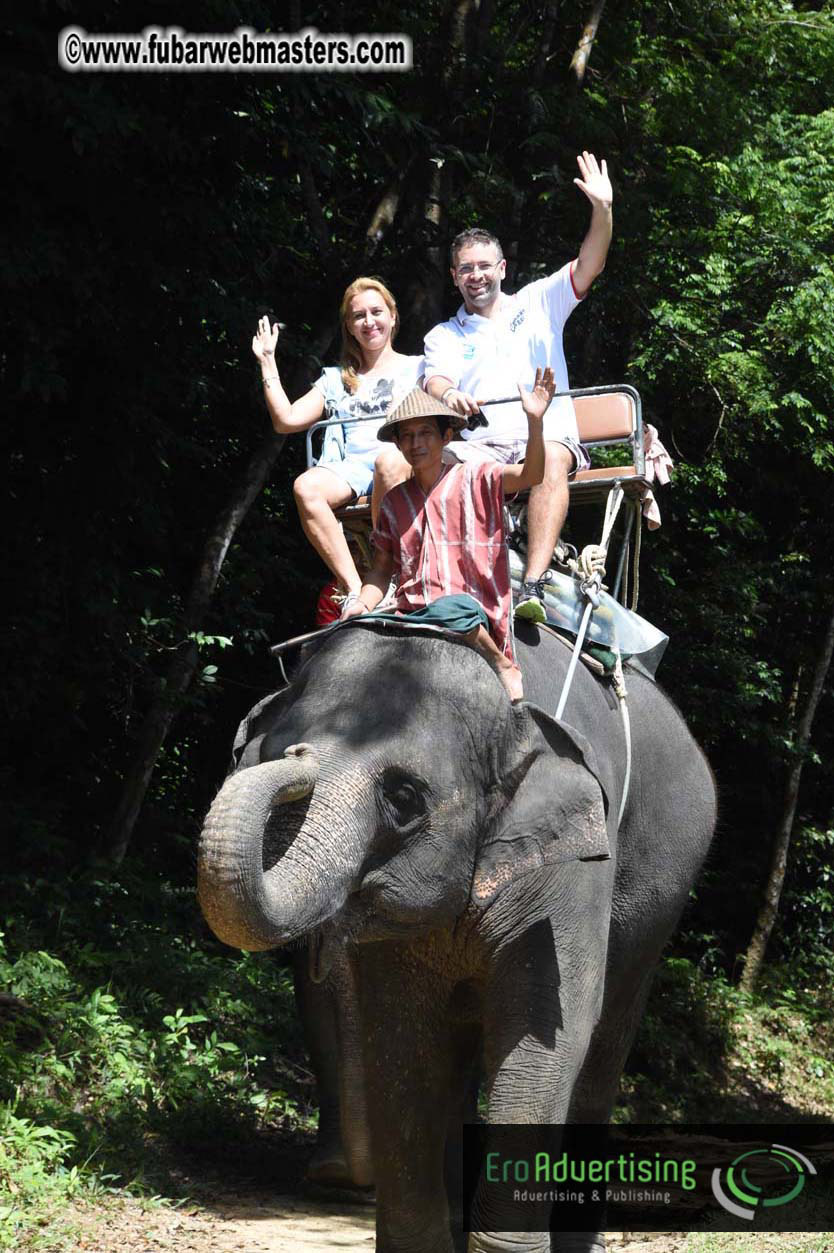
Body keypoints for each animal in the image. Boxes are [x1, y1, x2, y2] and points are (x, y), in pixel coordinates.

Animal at [197, 616, 716, 1253]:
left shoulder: (571, 866)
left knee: (603, 1049)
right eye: (268, 752)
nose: (294, 755)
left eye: (403, 798)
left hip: (658, 911)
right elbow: (403, 1038)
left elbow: (544, 1028)